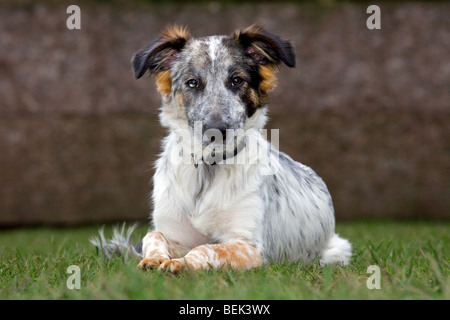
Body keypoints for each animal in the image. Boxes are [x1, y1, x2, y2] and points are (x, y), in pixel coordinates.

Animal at [91, 25, 352, 274]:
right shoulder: (177, 234)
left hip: (337, 250)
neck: (207, 169)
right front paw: (155, 259)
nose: (215, 130)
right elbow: (153, 235)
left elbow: (207, 249)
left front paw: (181, 264)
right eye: (192, 83)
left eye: (237, 80)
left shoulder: (248, 245)